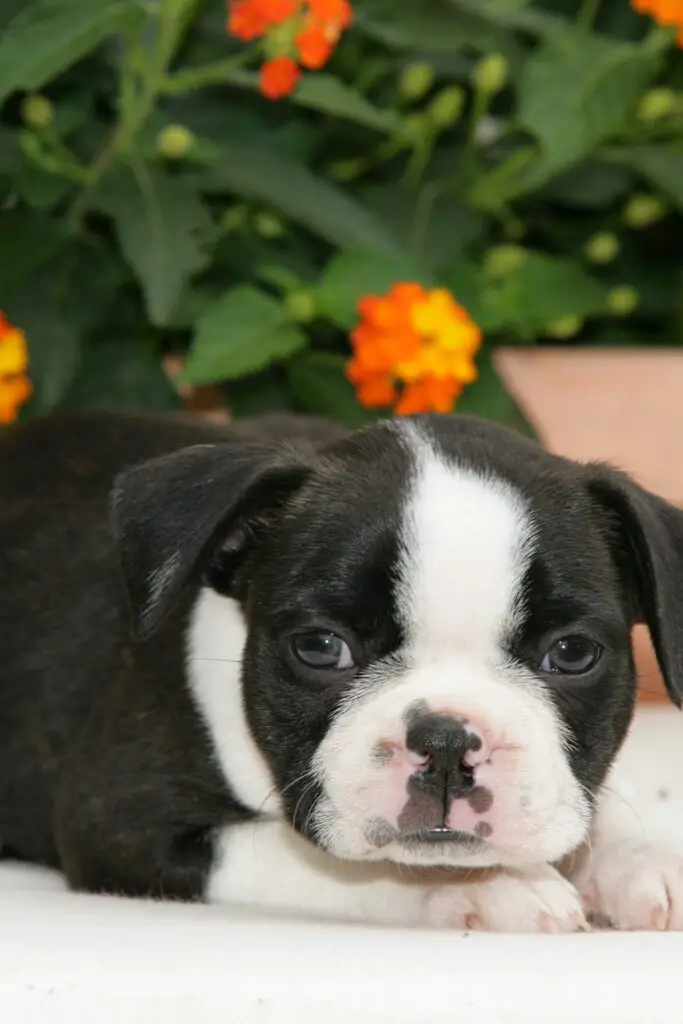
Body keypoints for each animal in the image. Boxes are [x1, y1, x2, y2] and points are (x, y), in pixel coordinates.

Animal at [1, 403, 683, 933]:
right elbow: (337, 860)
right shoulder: (122, 819)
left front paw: (635, 859)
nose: (445, 741)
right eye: (320, 648)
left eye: (572, 654)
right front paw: (483, 883)